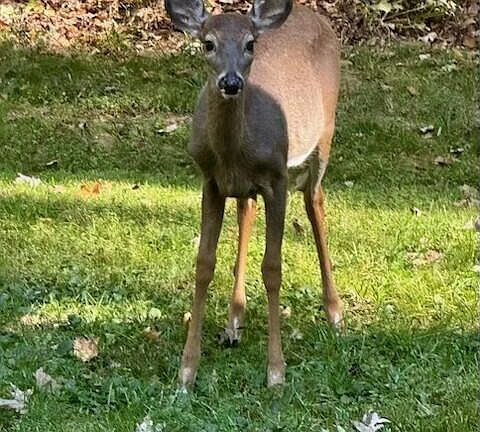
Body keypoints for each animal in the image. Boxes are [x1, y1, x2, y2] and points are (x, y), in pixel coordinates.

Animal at [165, 0, 343, 389]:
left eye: (250, 44)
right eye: (208, 43)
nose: (231, 82)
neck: (234, 152)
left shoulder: (277, 178)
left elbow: (273, 268)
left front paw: (276, 371)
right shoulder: (210, 181)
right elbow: (204, 264)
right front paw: (187, 370)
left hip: (325, 132)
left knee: (315, 200)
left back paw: (335, 312)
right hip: (245, 186)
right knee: (247, 211)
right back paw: (234, 321)